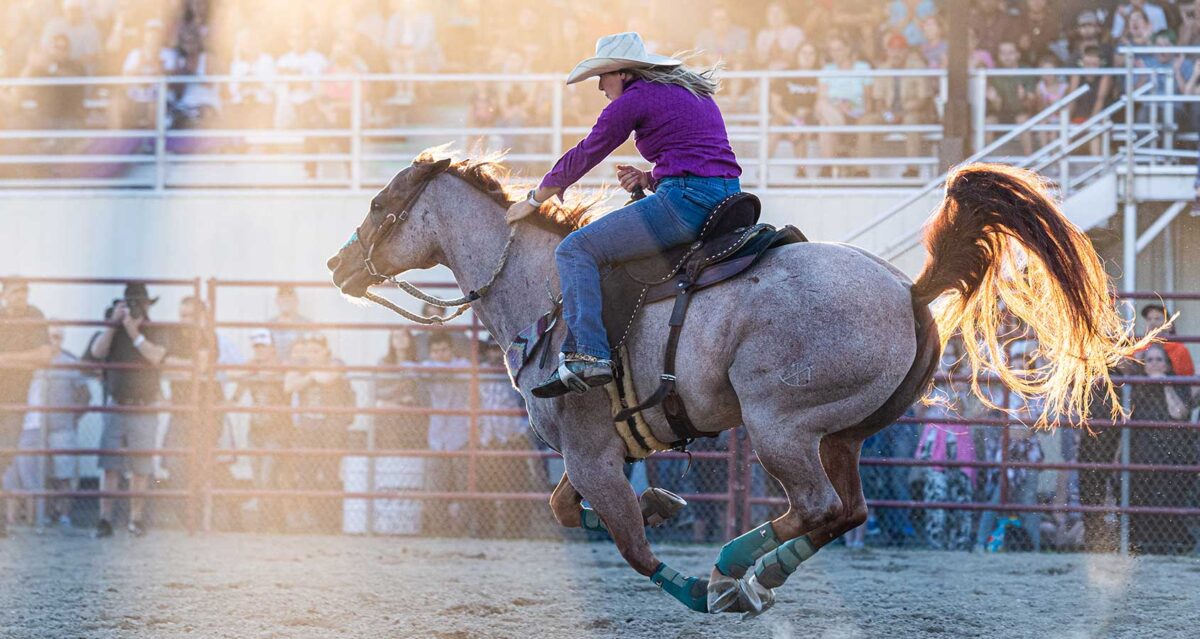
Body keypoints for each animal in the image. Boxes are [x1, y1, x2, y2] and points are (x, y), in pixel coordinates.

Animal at [326, 147, 1142, 614]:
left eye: (380, 203)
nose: (337, 264)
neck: (542, 290)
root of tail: (909, 290)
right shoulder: (599, 451)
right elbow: (572, 509)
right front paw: (662, 502)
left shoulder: (588, 451)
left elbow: (629, 544)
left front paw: (685, 578)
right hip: (839, 434)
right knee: (843, 511)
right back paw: (752, 571)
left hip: (779, 425)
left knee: (817, 506)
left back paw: (730, 571)